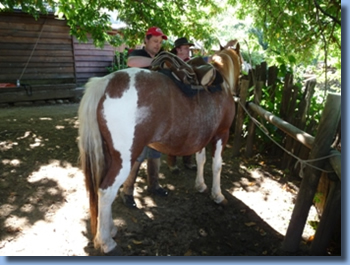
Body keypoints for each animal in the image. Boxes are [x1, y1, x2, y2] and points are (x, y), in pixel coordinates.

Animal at [77, 40, 241, 253]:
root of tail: (105, 84)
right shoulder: (222, 133)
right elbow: (217, 166)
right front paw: (217, 195)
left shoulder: (203, 137)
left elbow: (201, 160)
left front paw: (200, 185)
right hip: (123, 161)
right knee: (106, 191)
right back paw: (106, 242)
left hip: (108, 155)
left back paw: (110, 229)